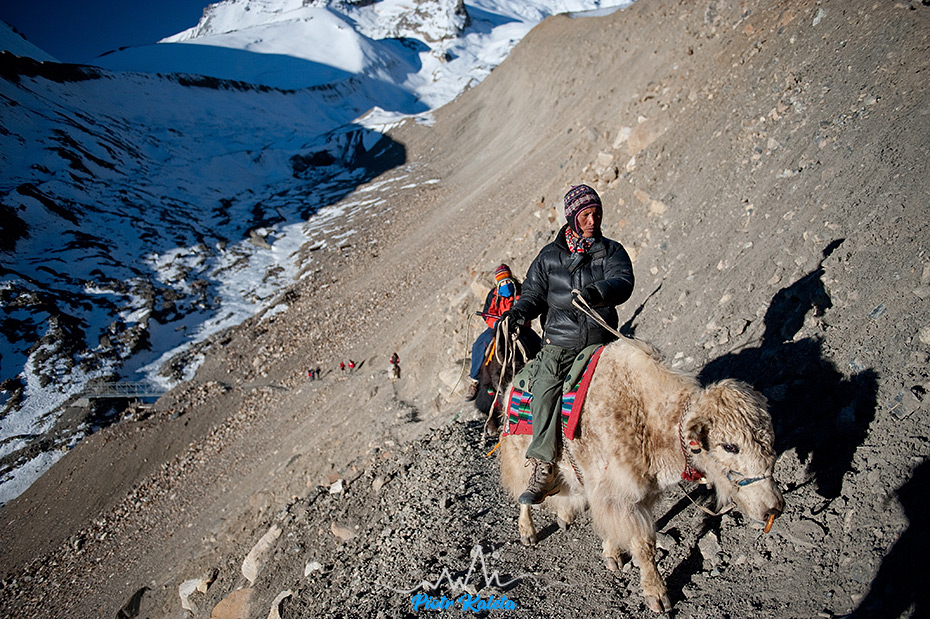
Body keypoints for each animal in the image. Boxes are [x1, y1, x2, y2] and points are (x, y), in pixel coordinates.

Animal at [497, 336, 784, 612]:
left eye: (770, 439)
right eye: (729, 446)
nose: (774, 508)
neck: (649, 419)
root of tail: (512, 382)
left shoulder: (617, 491)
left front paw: (612, 555)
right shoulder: (624, 496)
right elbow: (644, 545)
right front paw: (657, 596)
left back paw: (565, 516)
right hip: (519, 452)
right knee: (523, 494)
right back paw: (528, 531)